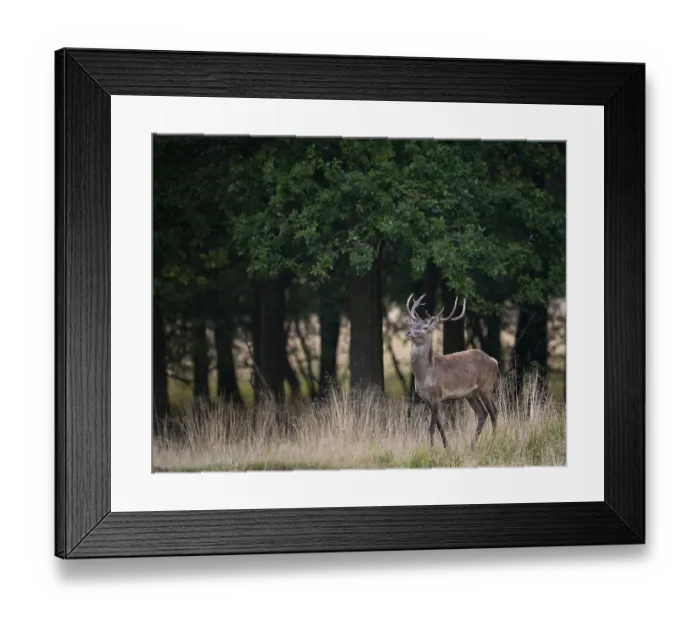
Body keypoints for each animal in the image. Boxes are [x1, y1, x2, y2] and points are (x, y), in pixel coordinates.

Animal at [404, 292, 500, 450]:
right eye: (412, 324)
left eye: (425, 327)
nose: (409, 332)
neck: (425, 376)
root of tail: (494, 361)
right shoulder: (425, 398)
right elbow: (440, 426)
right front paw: (446, 447)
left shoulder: (437, 395)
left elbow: (431, 427)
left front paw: (431, 450)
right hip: (470, 393)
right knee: (482, 413)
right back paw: (472, 445)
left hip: (486, 386)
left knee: (494, 412)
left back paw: (493, 441)